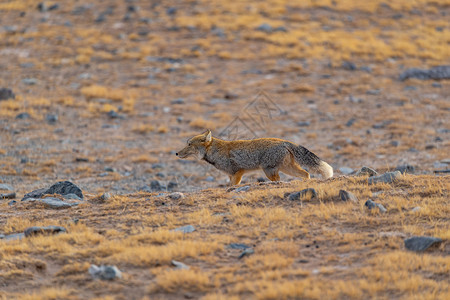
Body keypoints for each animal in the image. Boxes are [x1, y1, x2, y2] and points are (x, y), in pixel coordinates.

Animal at [176, 129, 334, 185]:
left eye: (189, 144)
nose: (176, 153)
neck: (216, 151)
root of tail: (283, 141)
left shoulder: (237, 172)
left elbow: (233, 186)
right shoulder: (230, 175)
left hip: (270, 171)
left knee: (281, 179)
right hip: (287, 168)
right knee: (306, 174)